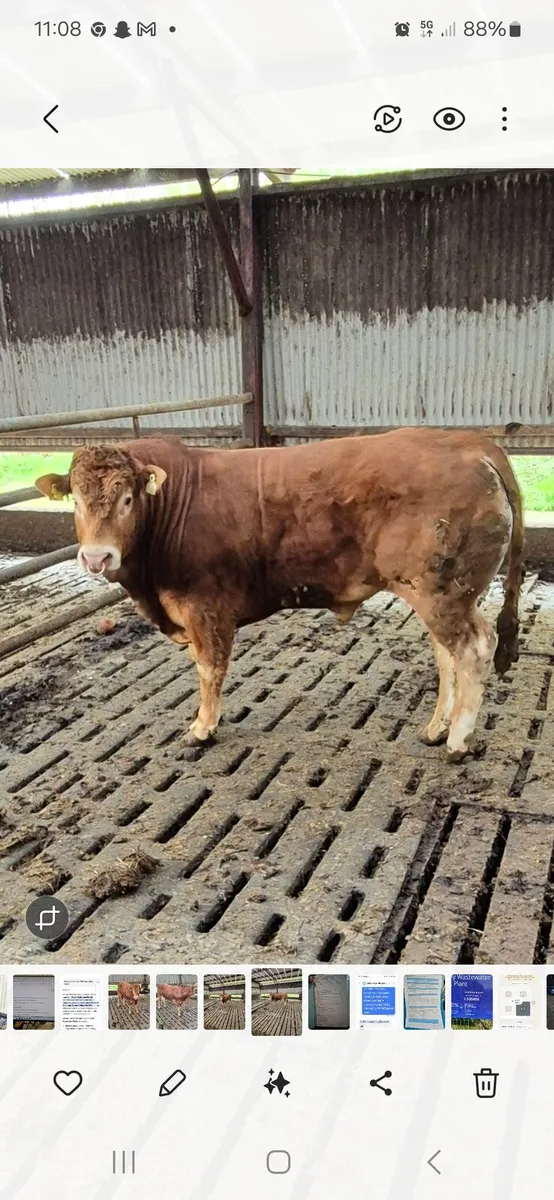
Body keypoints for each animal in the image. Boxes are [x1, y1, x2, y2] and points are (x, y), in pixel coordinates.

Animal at [35, 428, 524, 763]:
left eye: (128, 499)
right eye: (75, 500)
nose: (96, 557)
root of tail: (471, 442)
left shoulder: (205, 607)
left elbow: (210, 669)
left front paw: (202, 728)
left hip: (444, 592)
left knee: (475, 648)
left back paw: (458, 741)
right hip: (434, 593)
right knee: (447, 655)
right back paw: (437, 728)